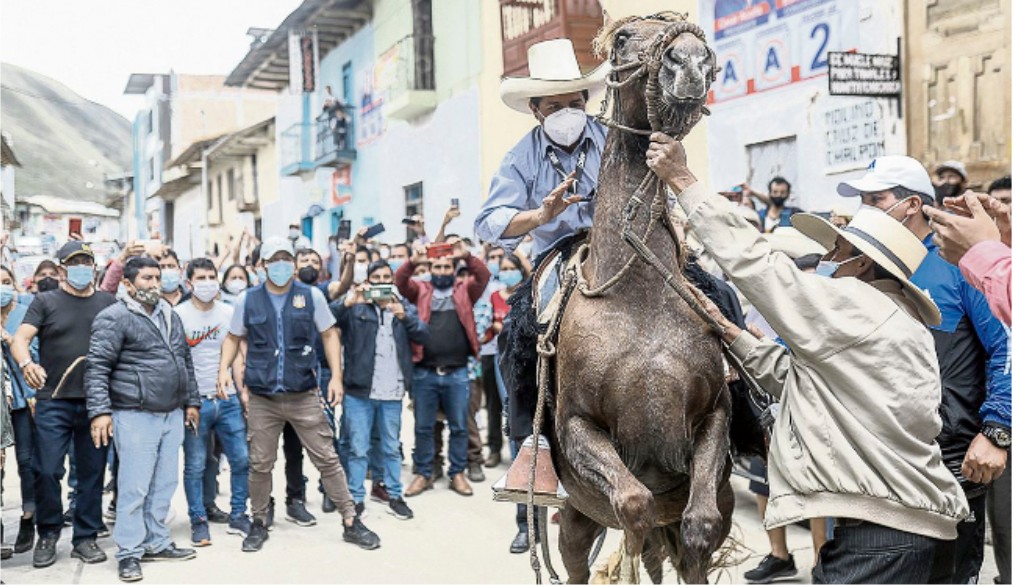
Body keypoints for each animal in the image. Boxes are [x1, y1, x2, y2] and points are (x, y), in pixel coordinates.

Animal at [548, 13, 731, 585]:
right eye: (625, 39)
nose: (689, 60)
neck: (637, 299)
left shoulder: (714, 416)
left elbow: (698, 528)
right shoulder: (579, 428)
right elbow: (633, 504)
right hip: (575, 519)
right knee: (580, 562)